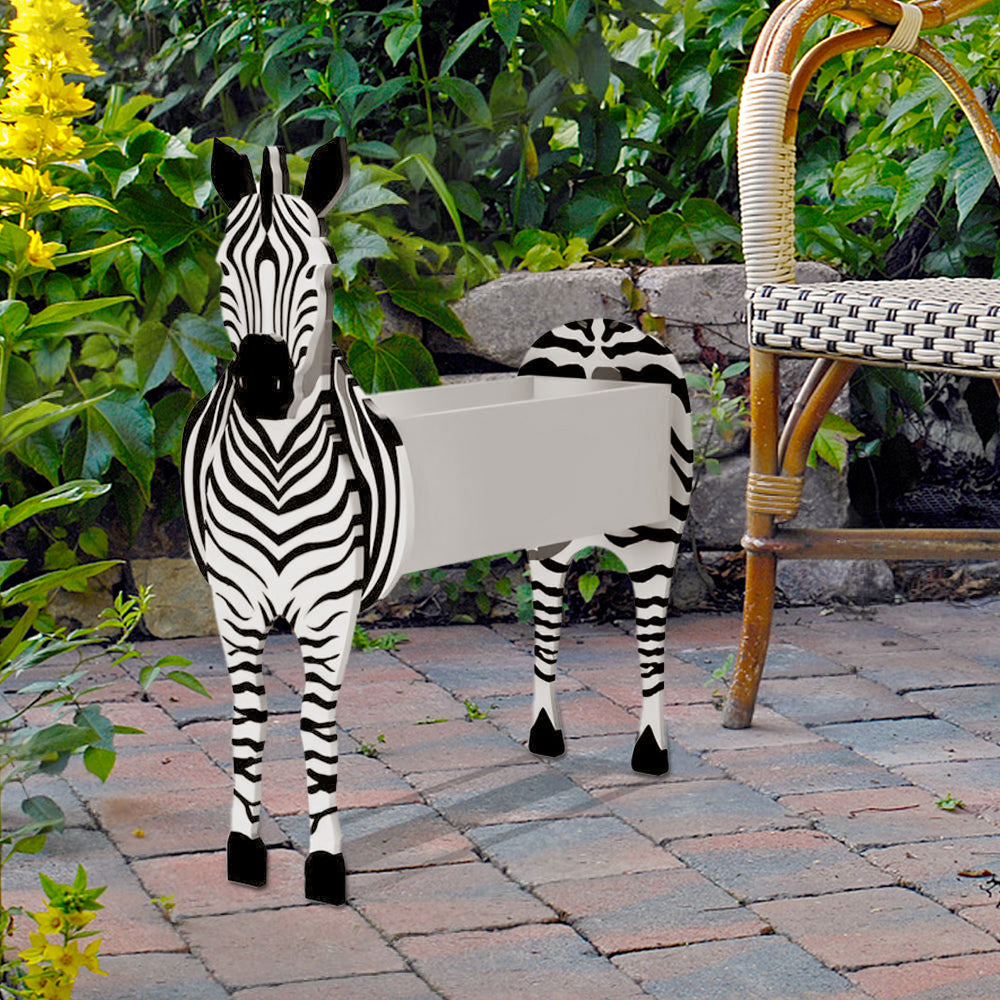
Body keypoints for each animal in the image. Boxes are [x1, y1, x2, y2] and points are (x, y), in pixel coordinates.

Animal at [181, 138, 410, 906]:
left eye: (320, 267)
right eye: (224, 267)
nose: (264, 387)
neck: (279, 464)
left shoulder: (331, 610)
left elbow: (315, 723)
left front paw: (325, 862)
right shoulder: (232, 605)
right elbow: (249, 722)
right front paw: (244, 851)